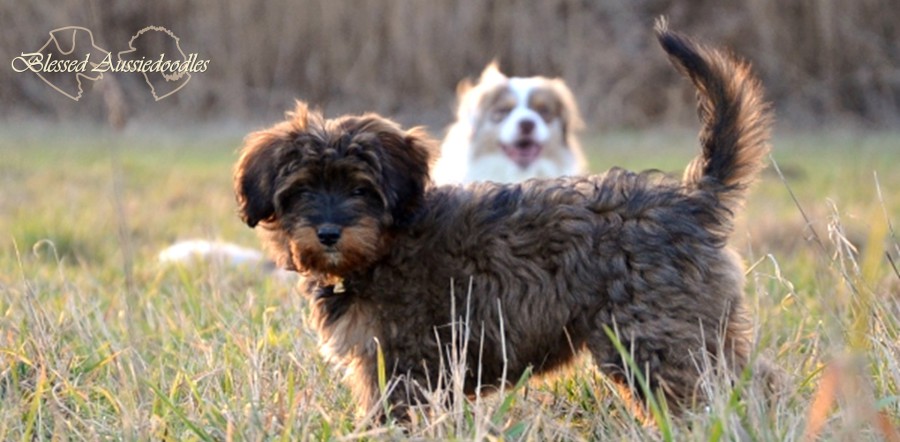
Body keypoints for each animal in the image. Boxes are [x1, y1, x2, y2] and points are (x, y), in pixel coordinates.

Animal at [232, 25, 772, 424]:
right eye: (301, 190)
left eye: (362, 189)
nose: (327, 233)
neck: (385, 247)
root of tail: (691, 198)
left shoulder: (407, 363)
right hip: (701, 330)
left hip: (656, 336)